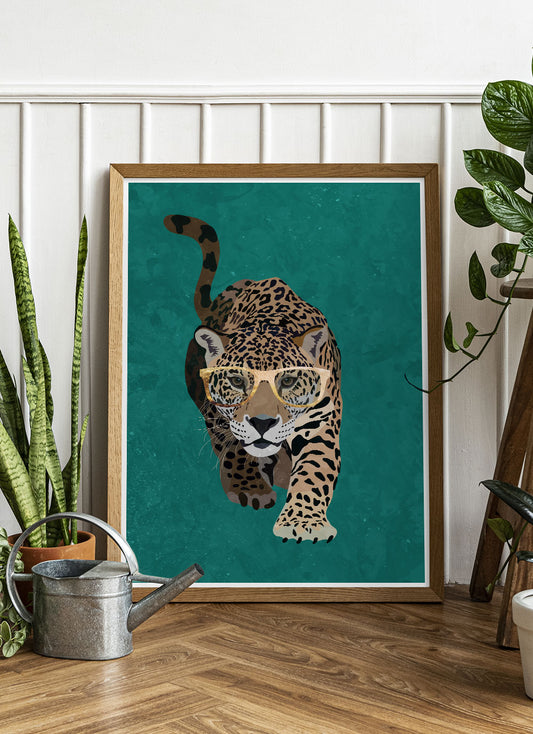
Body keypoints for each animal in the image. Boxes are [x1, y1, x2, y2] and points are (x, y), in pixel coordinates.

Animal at [164, 214, 343, 543]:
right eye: (237, 381)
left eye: (288, 381)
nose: (262, 423)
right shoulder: (219, 415)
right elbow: (235, 448)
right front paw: (250, 488)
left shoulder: (320, 422)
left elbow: (314, 471)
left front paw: (303, 522)